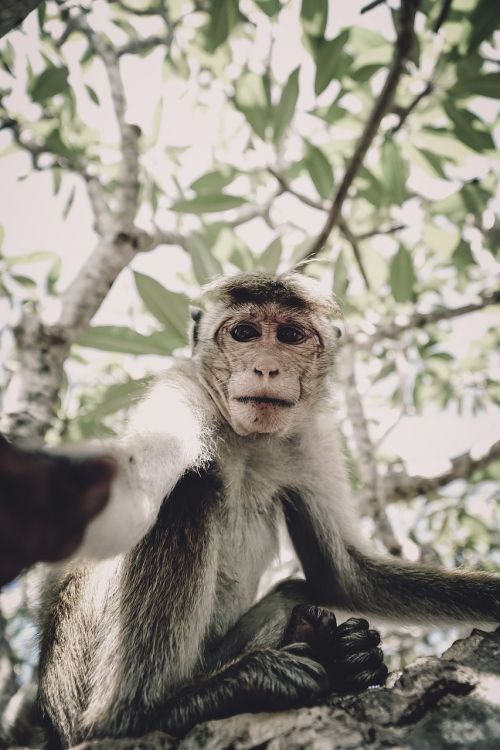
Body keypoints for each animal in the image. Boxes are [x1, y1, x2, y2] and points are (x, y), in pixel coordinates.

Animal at [30, 274, 496, 748]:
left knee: (295, 590)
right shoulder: (181, 392)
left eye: (289, 336)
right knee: (188, 489)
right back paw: (161, 709)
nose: (267, 368)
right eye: (244, 333)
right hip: (77, 667)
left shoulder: (310, 434)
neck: (245, 438)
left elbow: (343, 575)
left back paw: (335, 652)